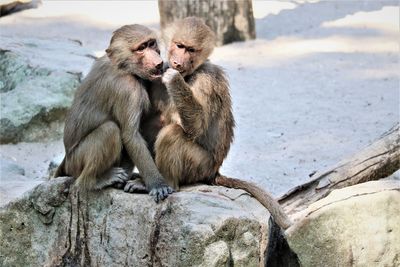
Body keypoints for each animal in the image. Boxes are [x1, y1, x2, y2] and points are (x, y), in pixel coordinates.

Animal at [54, 24, 173, 203]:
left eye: (151, 44)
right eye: (141, 48)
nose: (159, 62)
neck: (123, 66)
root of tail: (66, 162)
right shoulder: (128, 90)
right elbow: (131, 136)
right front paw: (157, 185)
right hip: (76, 162)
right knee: (109, 131)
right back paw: (95, 181)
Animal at [123, 17, 292, 230]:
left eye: (190, 50)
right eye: (179, 45)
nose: (177, 63)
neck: (189, 74)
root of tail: (214, 172)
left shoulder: (207, 80)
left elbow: (196, 126)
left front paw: (173, 79)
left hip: (200, 166)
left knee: (172, 134)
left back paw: (166, 184)